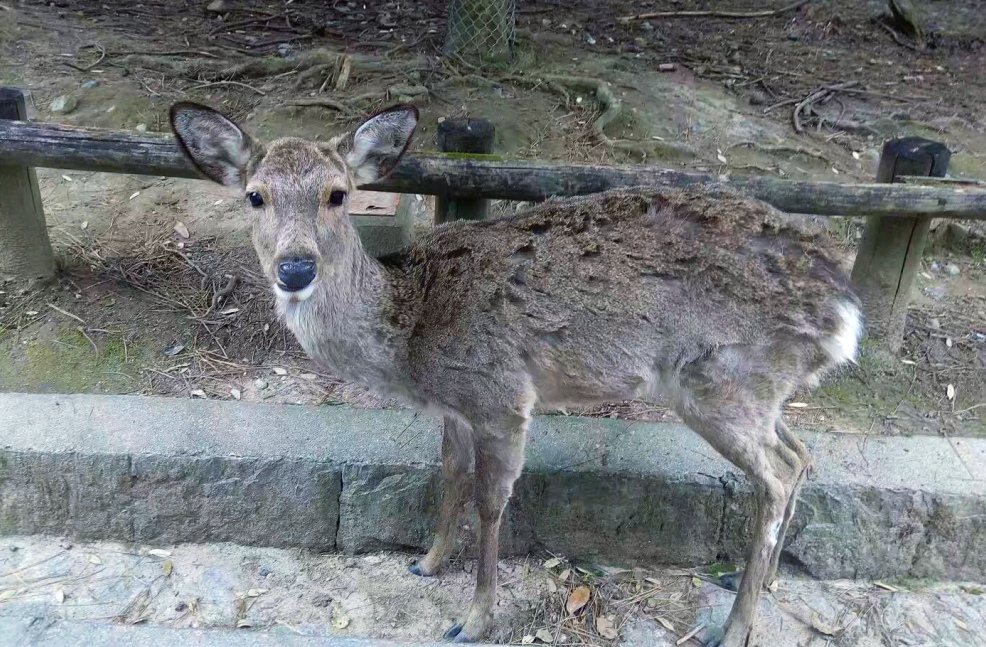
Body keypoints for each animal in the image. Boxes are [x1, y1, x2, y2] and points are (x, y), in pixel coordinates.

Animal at [171, 101, 860, 647]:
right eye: (254, 195)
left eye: (338, 194)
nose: (295, 268)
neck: (409, 334)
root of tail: (846, 310)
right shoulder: (454, 407)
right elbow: (449, 476)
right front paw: (427, 563)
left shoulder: (500, 395)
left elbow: (490, 500)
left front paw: (473, 620)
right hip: (759, 389)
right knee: (802, 453)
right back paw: (757, 580)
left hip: (720, 381)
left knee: (776, 475)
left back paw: (736, 627)